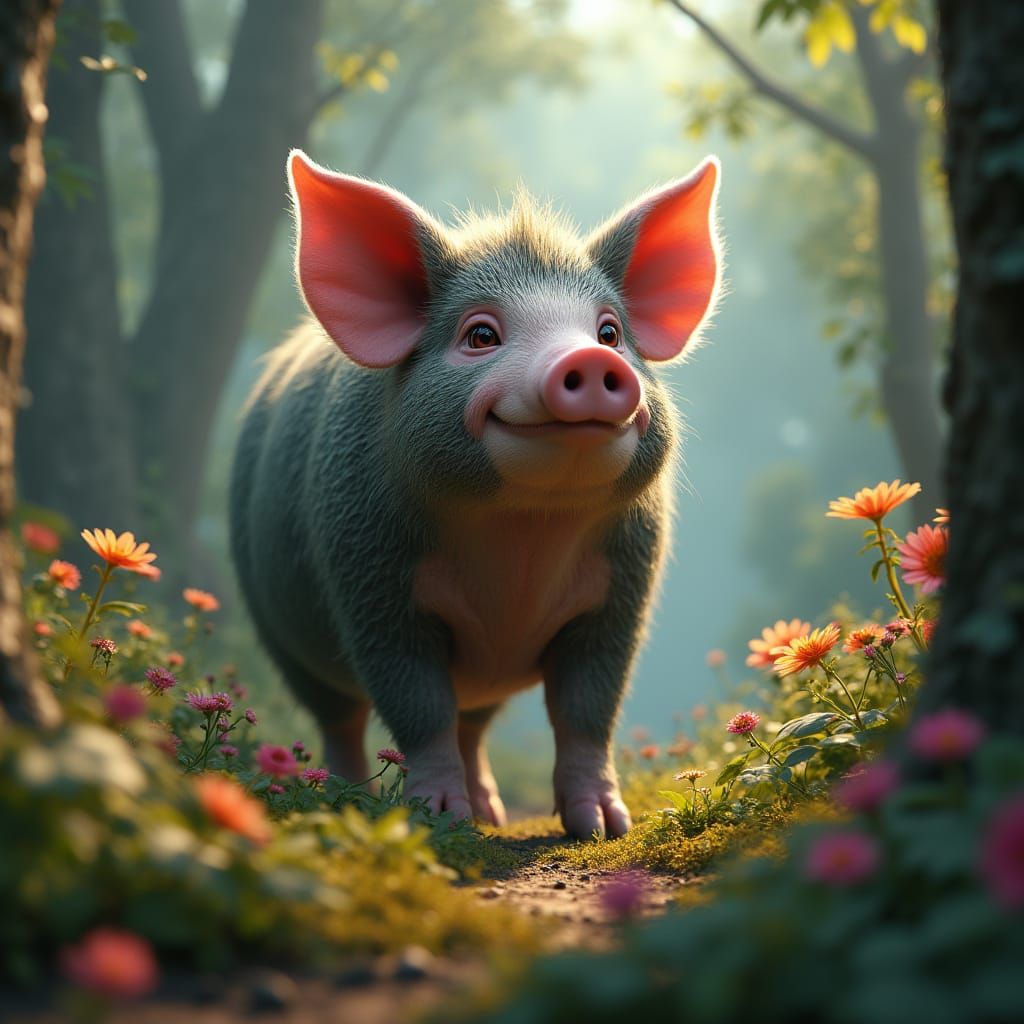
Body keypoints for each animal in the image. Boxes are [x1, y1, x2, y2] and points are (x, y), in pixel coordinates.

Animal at [229, 150, 721, 839]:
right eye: (481, 335)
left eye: (610, 332)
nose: (593, 361)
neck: (524, 532)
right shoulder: (369, 579)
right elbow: (418, 705)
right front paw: (434, 820)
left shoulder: (620, 593)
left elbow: (587, 710)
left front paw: (603, 826)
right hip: (280, 631)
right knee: (342, 719)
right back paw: (347, 800)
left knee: (472, 724)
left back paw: (491, 814)